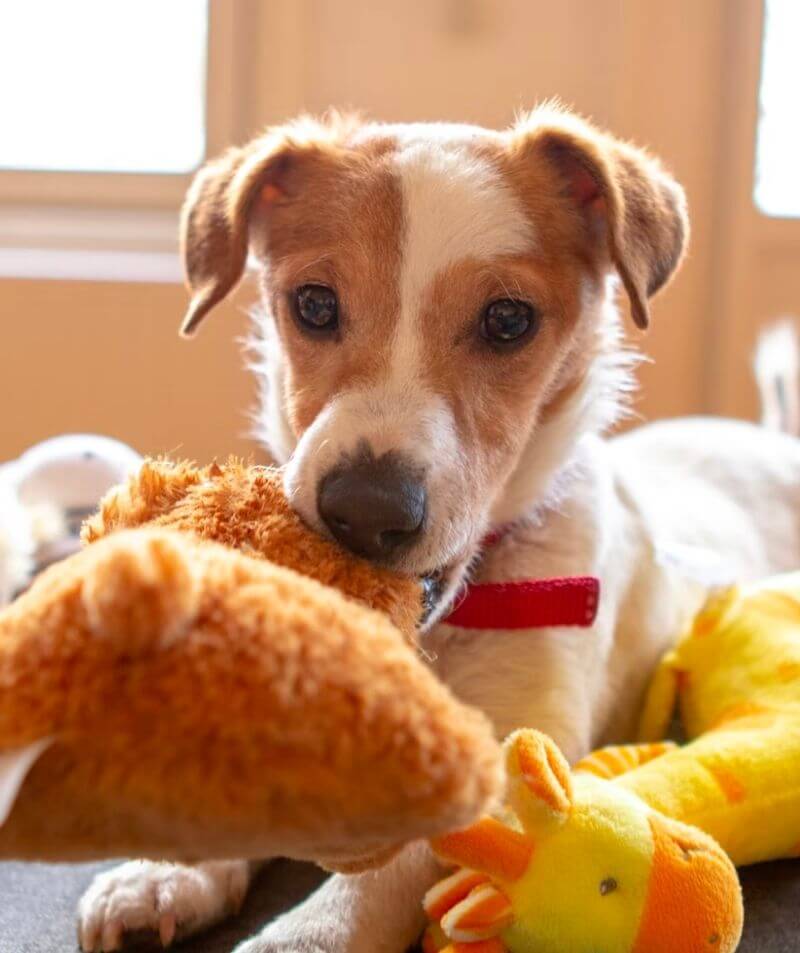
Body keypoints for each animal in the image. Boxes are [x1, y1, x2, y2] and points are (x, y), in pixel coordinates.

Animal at [75, 108, 800, 948]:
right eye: (313, 304)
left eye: (509, 319)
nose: (365, 510)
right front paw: (167, 870)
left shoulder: (524, 743)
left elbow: (388, 872)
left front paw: (304, 932)